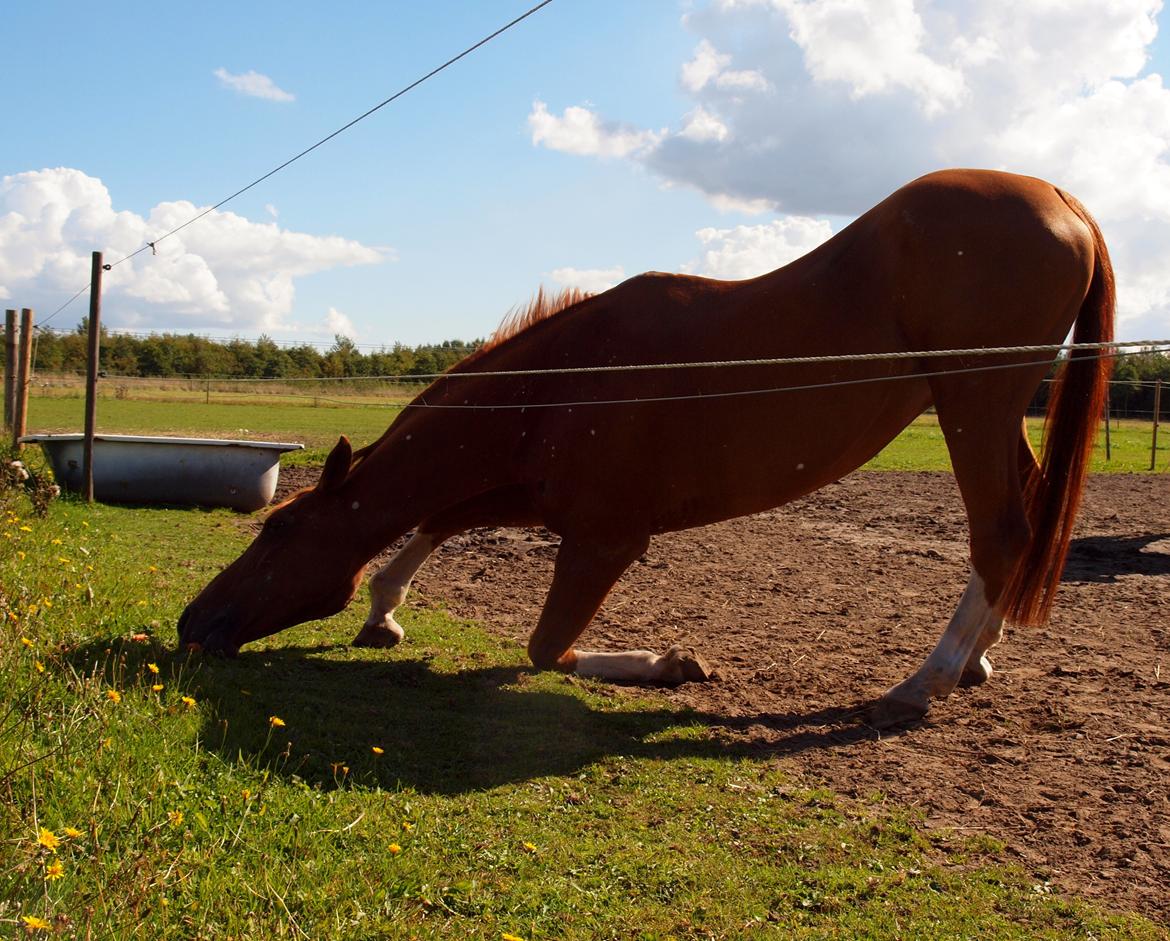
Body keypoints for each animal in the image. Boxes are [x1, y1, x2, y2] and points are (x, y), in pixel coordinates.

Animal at [177, 168, 1109, 725]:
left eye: (278, 533)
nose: (190, 622)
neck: (568, 378)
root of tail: (1062, 199)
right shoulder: (526, 491)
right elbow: (438, 522)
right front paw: (384, 610)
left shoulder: (605, 539)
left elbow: (547, 648)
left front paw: (672, 661)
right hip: (990, 414)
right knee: (1022, 523)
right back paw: (978, 657)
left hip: (972, 404)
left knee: (1000, 530)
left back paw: (924, 681)